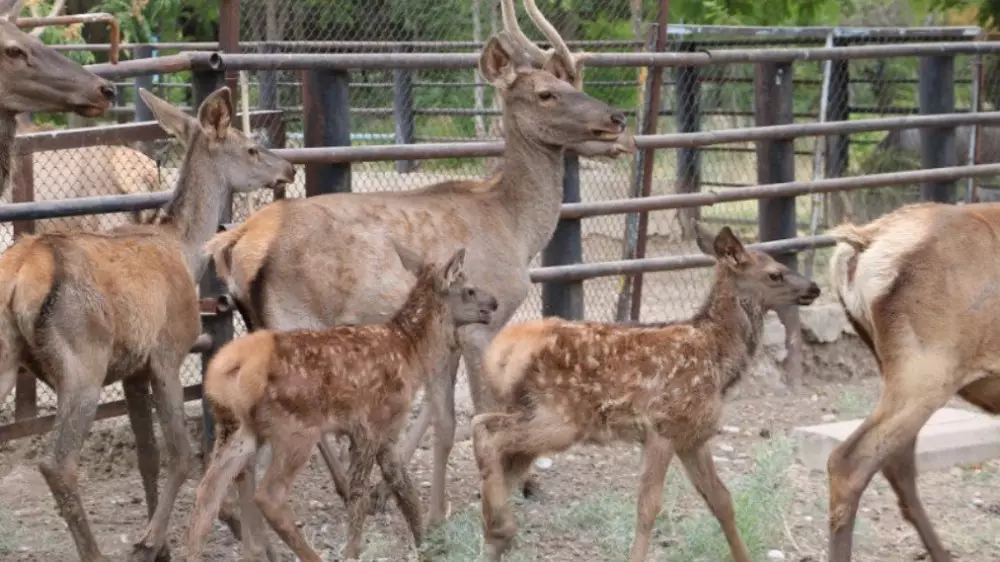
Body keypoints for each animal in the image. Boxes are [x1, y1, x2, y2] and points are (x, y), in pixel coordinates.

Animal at [0, 84, 292, 560]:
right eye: (251, 148)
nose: (287, 167)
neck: (186, 251)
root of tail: (21, 274)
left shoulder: (132, 369)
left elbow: (148, 456)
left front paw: (164, 540)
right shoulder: (167, 353)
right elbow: (182, 453)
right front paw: (151, 538)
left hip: (10, 359)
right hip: (82, 364)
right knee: (57, 463)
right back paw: (94, 552)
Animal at [186, 244, 498, 560]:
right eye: (469, 289)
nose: (494, 303)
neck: (410, 352)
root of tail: (227, 369)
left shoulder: (387, 432)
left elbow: (405, 489)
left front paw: (426, 547)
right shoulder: (369, 424)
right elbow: (359, 494)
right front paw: (353, 551)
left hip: (235, 429)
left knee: (208, 491)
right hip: (295, 428)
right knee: (268, 495)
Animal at [203, 0, 636, 524]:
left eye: (574, 83)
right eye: (547, 92)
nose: (618, 120)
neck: (515, 228)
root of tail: (235, 241)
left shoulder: (445, 336)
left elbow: (441, 416)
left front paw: (421, 499)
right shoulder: (481, 323)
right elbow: (484, 412)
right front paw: (493, 494)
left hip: (258, 320)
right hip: (295, 317)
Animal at [468, 224, 820, 560]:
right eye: (775, 273)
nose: (814, 288)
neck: (719, 360)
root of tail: (505, 349)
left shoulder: (693, 437)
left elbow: (721, 499)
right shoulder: (661, 427)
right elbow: (648, 508)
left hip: (531, 412)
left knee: (496, 449)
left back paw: (494, 534)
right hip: (562, 416)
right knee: (485, 429)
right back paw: (500, 528)